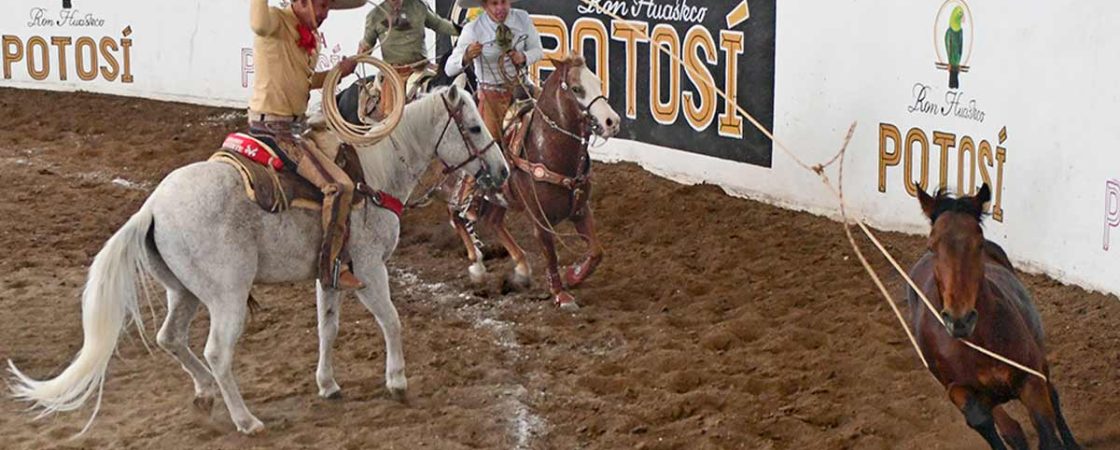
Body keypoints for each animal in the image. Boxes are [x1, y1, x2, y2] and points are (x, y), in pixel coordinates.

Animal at [7, 86, 508, 434]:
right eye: (475, 127)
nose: (502, 172)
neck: (372, 177)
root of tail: (151, 207)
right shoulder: (369, 269)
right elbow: (392, 322)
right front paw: (398, 382)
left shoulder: (330, 275)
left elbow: (328, 329)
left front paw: (328, 385)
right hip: (227, 296)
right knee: (215, 351)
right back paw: (246, 420)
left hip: (183, 291)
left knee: (171, 338)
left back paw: (205, 395)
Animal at [448, 57, 622, 308]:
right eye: (576, 89)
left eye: (599, 82)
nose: (612, 122)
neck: (549, 150)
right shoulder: (540, 220)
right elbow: (551, 255)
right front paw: (561, 295)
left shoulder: (581, 209)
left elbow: (596, 251)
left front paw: (573, 275)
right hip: (465, 184)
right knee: (456, 214)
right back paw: (477, 266)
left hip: (501, 198)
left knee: (493, 221)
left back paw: (521, 269)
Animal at [909, 184, 1084, 447]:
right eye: (932, 246)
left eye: (979, 243)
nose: (959, 320)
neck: (979, 343)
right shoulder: (957, 388)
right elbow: (983, 420)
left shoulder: (1031, 379)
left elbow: (1046, 429)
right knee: (1008, 426)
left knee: (1052, 396)